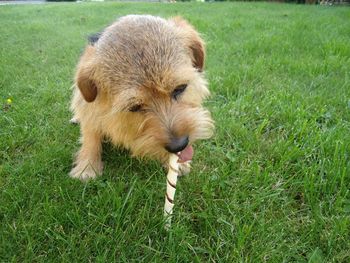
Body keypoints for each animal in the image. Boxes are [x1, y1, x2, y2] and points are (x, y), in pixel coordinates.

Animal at [69, 14, 213, 182]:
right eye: (134, 107)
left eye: (180, 88)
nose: (179, 145)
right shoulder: (89, 108)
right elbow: (90, 136)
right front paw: (87, 166)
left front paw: (176, 163)